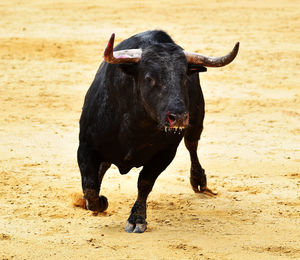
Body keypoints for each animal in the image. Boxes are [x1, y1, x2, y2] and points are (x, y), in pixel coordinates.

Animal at [77, 30, 239, 234]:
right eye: (149, 78)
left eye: (184, 77)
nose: (178, 117)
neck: (136, 125)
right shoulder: (85, 146)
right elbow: (90, 188)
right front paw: (99, 201)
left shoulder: (165, 153)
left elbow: (144, 183)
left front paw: (137, 219)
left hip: (197, 120)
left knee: (192, 145)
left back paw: (199, 181)